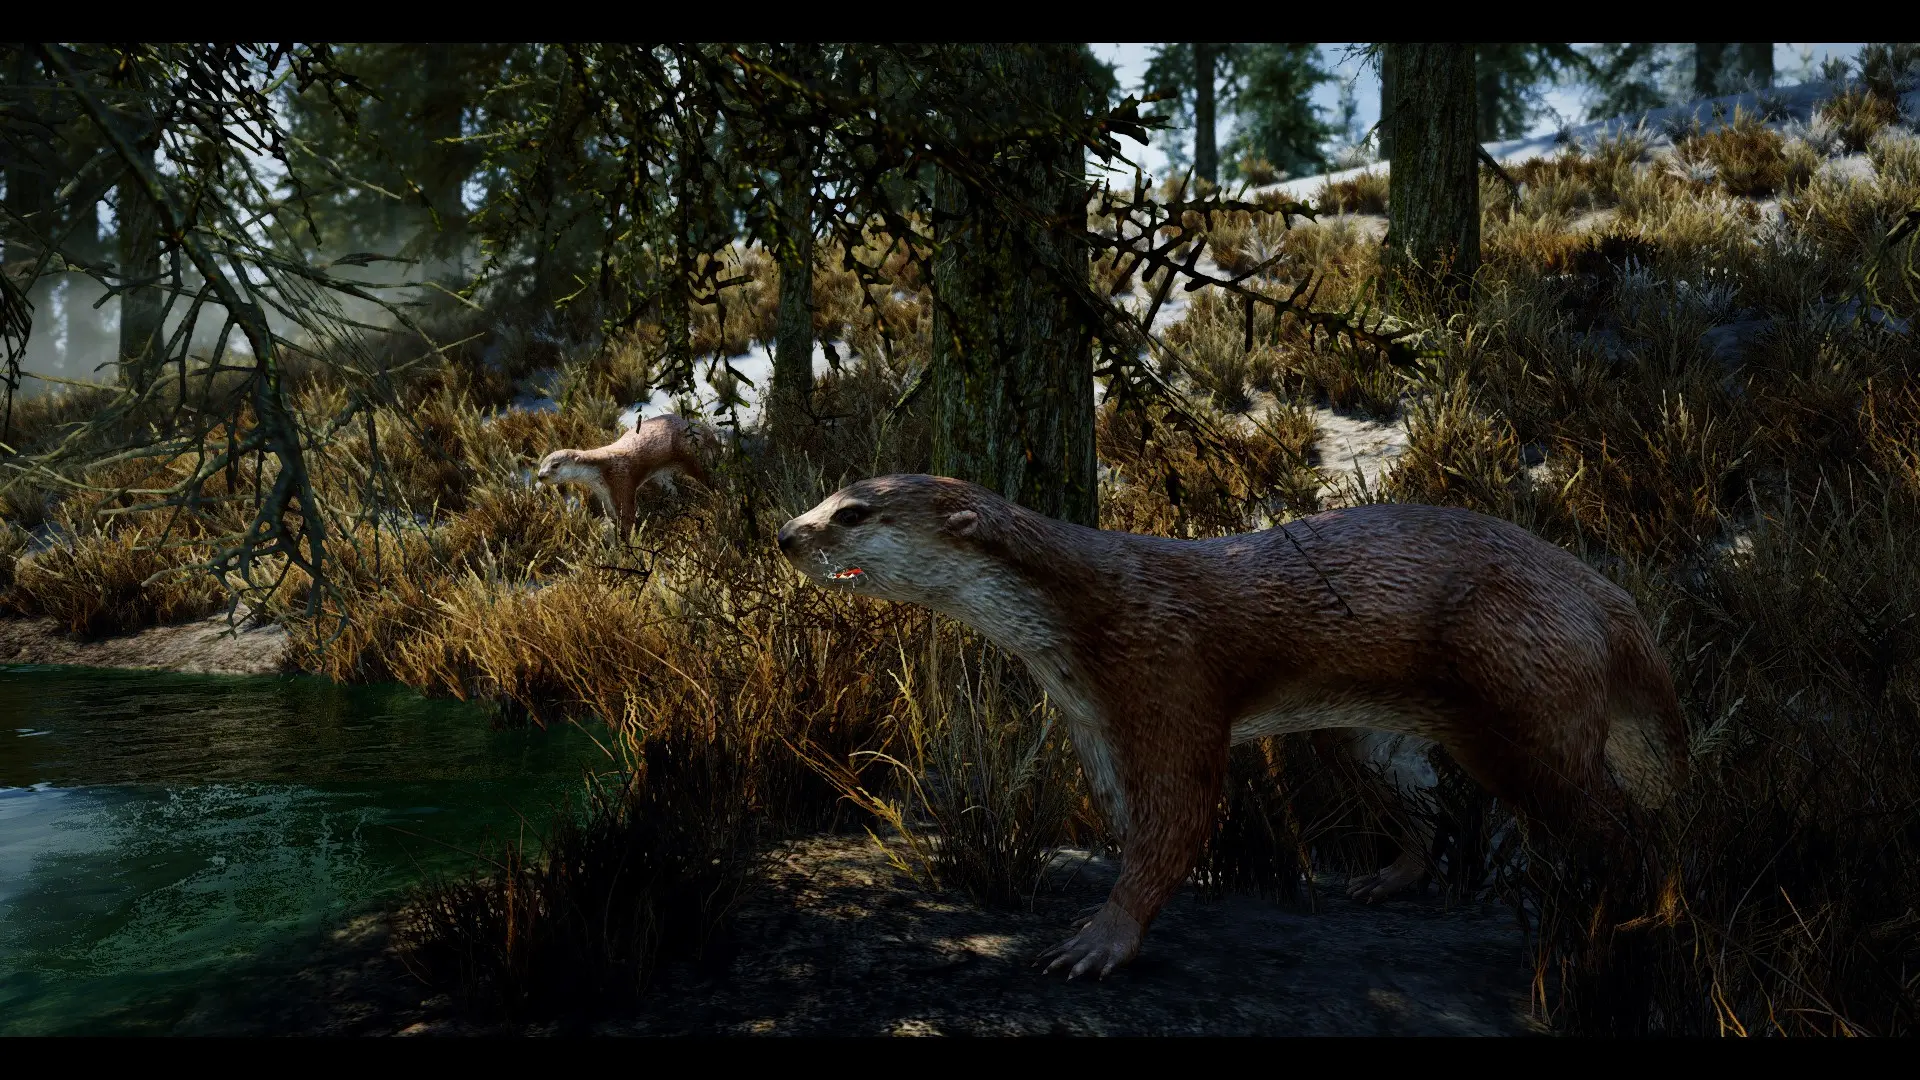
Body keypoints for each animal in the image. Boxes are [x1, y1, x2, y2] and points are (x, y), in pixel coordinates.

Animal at [536, 415, 716, 540]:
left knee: (704, 477)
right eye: (541, 465)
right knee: (671, 489)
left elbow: (628, 515)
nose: (540, 476)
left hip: (690, 457)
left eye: (555, 465)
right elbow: (611, 514)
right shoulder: (603, 494)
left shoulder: (621, 481)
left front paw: (629, 541)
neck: (602, 469)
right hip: (661, 476)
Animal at [776, 474, 1687, 979]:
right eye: (822, 497)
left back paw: (1636, 910)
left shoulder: (1168, 679)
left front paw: (1101, 941)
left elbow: (1180, 818)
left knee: (1617, 818)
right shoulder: (1091, 718)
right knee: (1419, 800)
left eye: (851, 513)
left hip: (1526, 707)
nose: (785, 533)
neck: (1087, 611)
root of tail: (1604, 595)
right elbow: (1126, 813)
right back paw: (1388, 878)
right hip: (1375, 732)